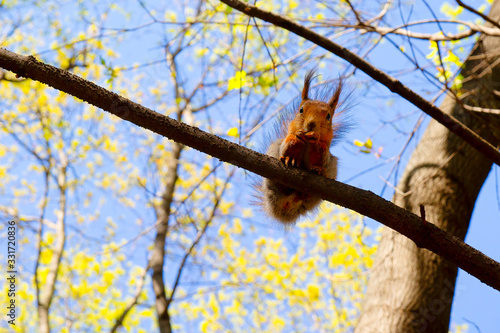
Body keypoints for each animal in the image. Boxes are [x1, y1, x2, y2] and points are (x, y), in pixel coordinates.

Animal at [260, 71, 342, 224]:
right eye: (301, 110)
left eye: (328, 116)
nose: (311, 124)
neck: (306, 142)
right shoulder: (283, 144)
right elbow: (286, 147)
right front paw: (295, 141)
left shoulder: (326, 153)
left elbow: (322, 156)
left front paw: (316, 141)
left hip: (331, 168)